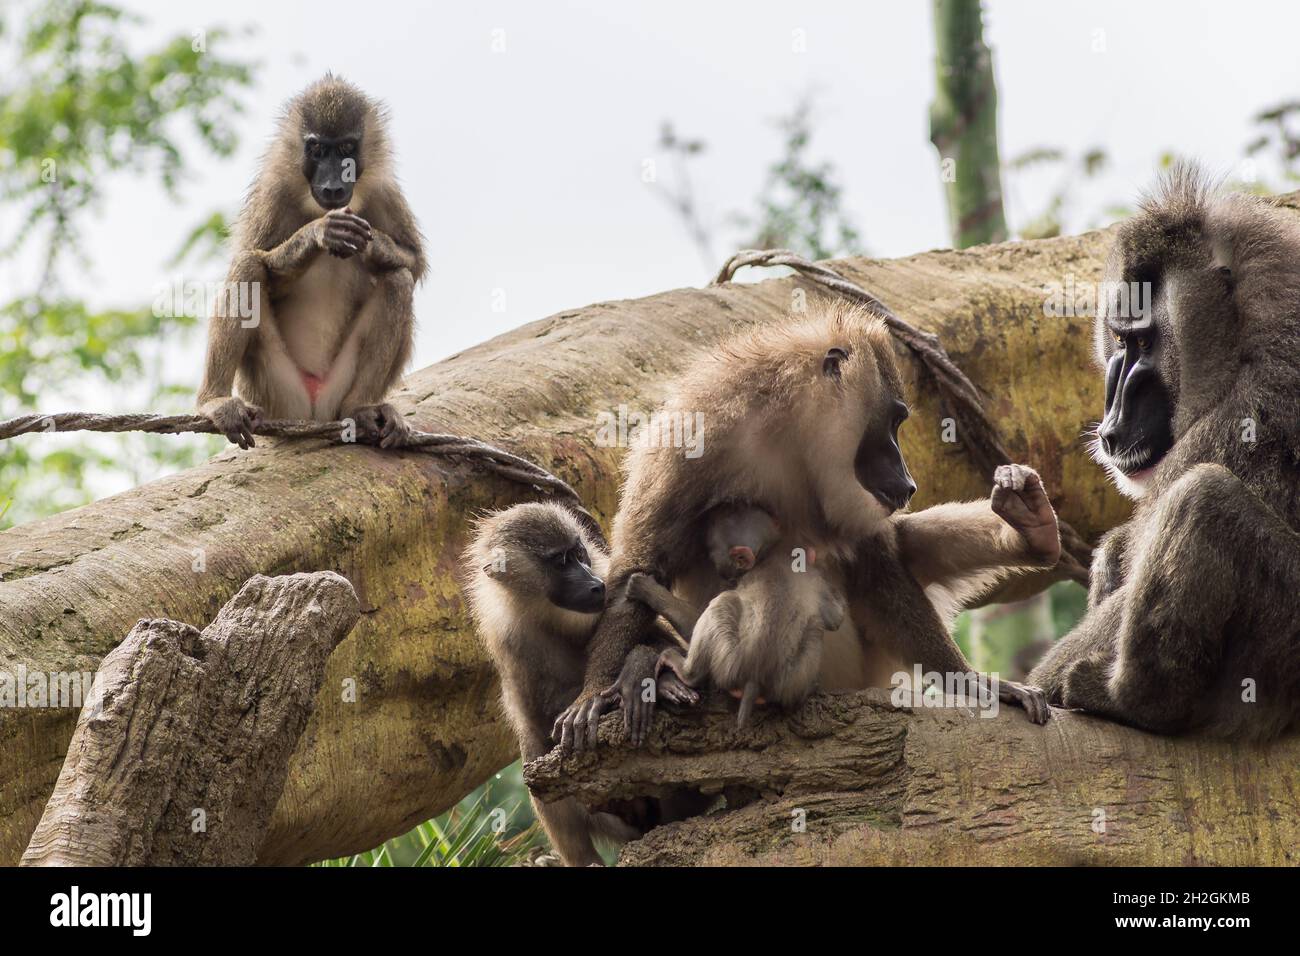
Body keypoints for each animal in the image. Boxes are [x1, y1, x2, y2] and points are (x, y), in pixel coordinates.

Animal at [196, 76, 426, 450]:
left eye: (346, 148)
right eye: (317, 150)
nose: (332, 186)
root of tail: (314, 413)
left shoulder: (384, 191)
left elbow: (414, 262)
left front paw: (371, 245)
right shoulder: (273, 193)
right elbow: (254, 258)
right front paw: (319, 234)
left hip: (335, 389)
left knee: (398, 280)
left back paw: (361, 409)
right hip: (276, 392)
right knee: (247, 268)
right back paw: (213, 401)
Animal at [462, 502, 696, 868]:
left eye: (579, 553)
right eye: (560, 562)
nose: (595, 585)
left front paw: (640, 672)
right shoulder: (509, 640)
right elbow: (536, 726)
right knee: (535, 750)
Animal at [626, 504, 847, 728]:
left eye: (714, 553)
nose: (719, 569)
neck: (772, 551)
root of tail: (754, 678)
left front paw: (648, 590)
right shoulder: (815, 578)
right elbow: (835, 619)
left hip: (728, 662)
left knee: (722, 603)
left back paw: (686, 673)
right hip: (792, 679)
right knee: (815, 627)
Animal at [1029, 167, 1300, 743]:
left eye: (1143, 344)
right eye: (1119, 342)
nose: (1111, 427)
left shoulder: (1250, 411)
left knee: (1202, 497)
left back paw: (1134, 699)